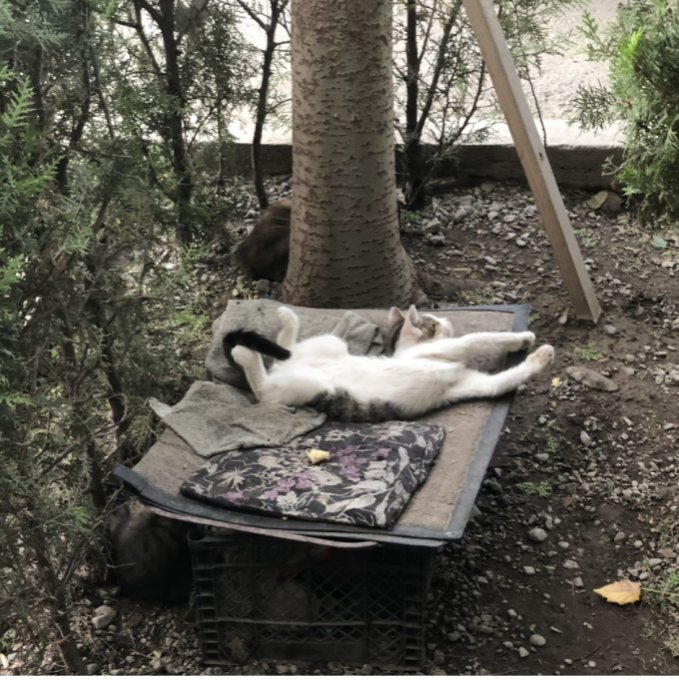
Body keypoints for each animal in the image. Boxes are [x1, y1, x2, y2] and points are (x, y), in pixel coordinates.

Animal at [224, 305, 554, 422]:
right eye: (434, 321)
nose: (447, 319)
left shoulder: (467, 385)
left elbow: (503, 381)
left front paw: (539, 357)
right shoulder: (439, 351)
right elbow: (477, 338)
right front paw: (523, 337)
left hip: (331, 344)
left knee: (286, 349)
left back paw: (287, 318)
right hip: (307, 386)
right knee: (262, 389)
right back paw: (244, 354)